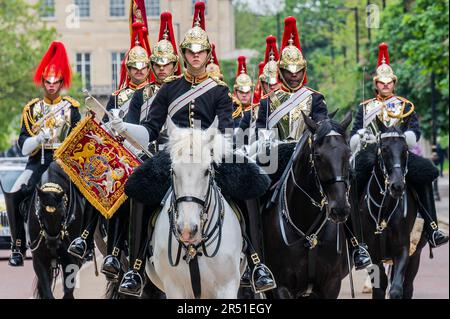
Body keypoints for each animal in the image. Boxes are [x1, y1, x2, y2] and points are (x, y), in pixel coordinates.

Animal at [27, 162, 84, 300]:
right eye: (39, 213)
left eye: (63, 214)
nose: (53, 243)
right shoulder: (39, 258)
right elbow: (47, 292)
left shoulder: (70, 258)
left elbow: (68, 292)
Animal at [356, 122, 428, 300]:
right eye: (384, 149)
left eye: (405, 149)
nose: (397, 186)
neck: (384, 209)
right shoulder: (373, 253)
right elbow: (380, 286)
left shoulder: (403, 249)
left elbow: (396, 289)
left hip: (415, 254)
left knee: (407, 287)